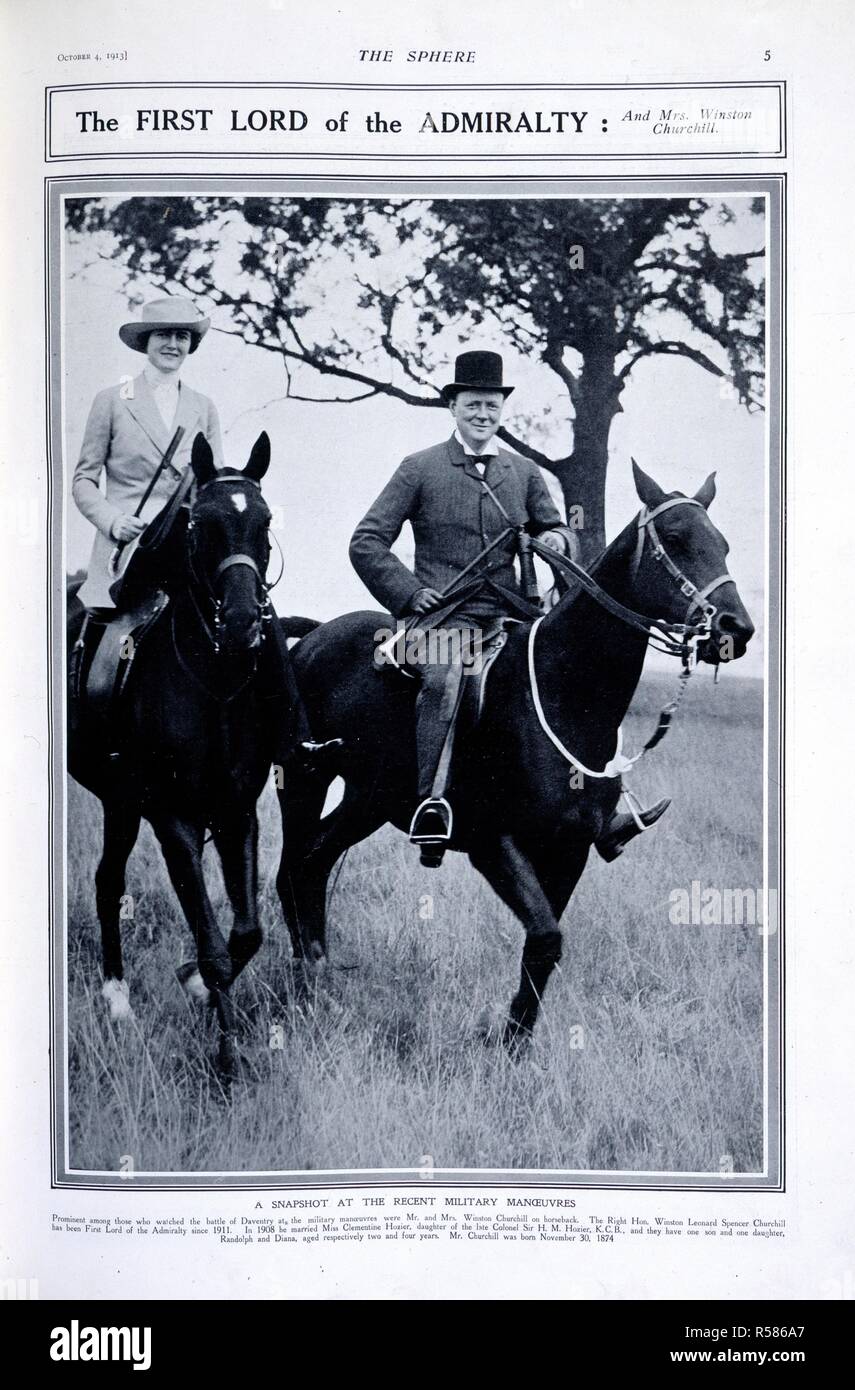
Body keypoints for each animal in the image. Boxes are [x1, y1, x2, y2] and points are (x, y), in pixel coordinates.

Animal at [69, 433, 280, 1073]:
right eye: (200, 524)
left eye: (264, 522)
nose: (241, 623)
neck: (212, 683)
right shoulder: (173, 819)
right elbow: (212, 946)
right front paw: (226, 1062)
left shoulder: (237, 813)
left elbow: (245, 934)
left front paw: (197, 989)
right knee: (107, 883)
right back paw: (116, 999)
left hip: (118, 801)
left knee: (107, 880)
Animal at [276, 461, 756, 1045]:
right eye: (678, 537)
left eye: (723, 544)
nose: (736, 629)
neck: (561, 692)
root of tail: (313, 636)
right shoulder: (494, 843)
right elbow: (546, 937)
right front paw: (504, 1044)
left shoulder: (569, 850)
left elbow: (541, 948)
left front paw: (514, 1046)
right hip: (304, 780)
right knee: (292, 869)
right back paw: (305, 986)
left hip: (366, 799)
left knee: (314, 863)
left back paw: (315, 975)